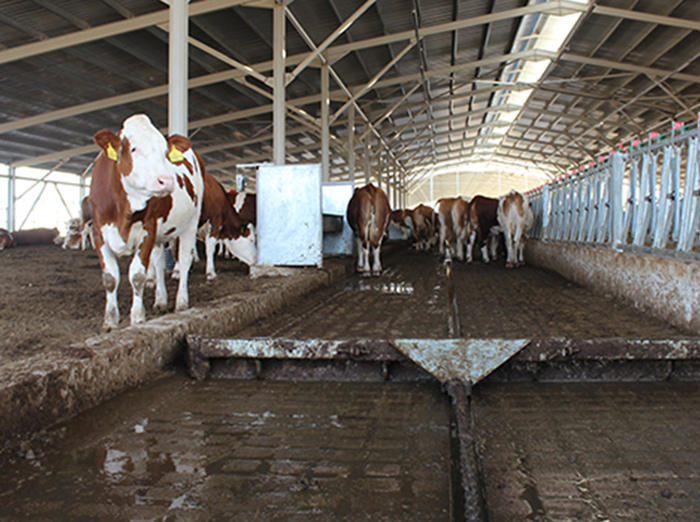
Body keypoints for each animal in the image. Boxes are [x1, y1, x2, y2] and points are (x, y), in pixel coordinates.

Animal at [87, 114, 202, 330]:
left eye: (165, 152)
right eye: (133, 148)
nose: (167, 181)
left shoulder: (148, 229)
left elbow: (137, 275)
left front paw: (137, 318)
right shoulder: (98, 231)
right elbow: (109, 277)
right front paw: (110, 320)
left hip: (191, 222)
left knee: (184, 260)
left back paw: (181, 302)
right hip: (160, 232)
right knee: (158, 262)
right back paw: (161, 301)